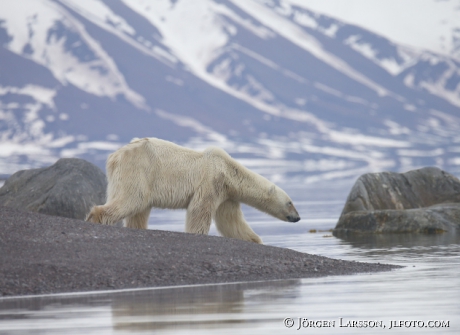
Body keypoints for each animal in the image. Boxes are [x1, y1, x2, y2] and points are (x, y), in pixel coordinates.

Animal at [85, 137, 302, 244]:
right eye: (290, 202)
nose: (298, 217)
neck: (228, 170)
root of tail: (115, 156)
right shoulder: (211, 181)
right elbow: (200, 211)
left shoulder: (227, 196)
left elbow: (231, 221)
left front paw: (254, 240)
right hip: (139, 170)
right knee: (131, 200)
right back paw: (95, 217)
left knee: (139, 210)